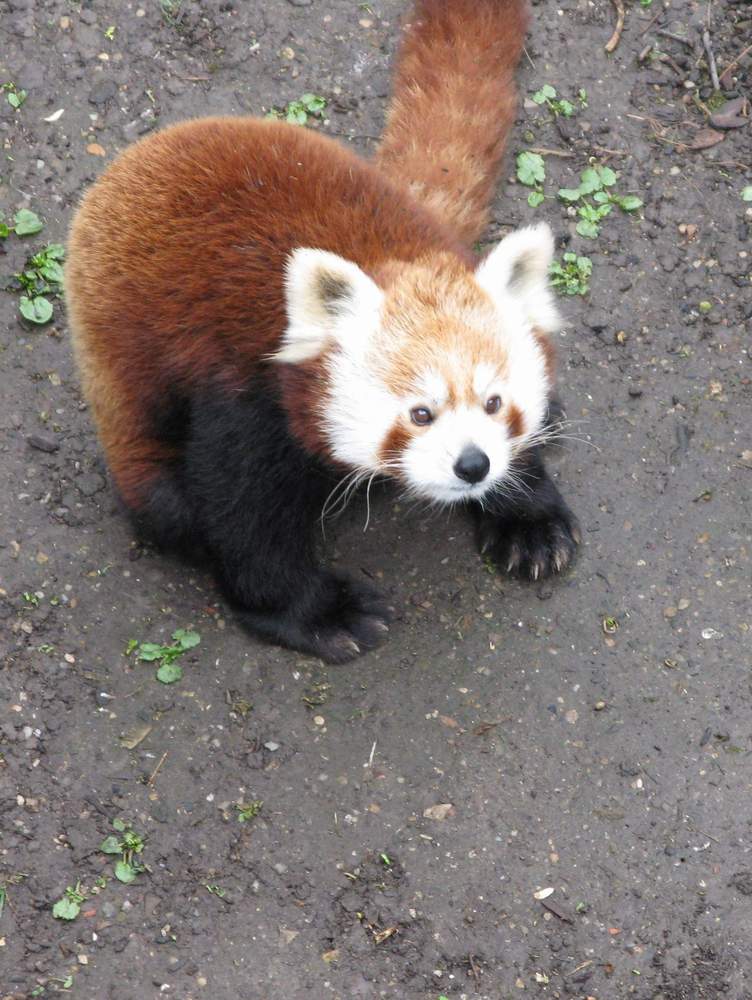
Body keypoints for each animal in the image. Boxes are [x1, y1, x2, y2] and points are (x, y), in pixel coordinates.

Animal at [66, 0, 580, 664]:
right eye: (420, 414)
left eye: (496, 403)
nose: (474, 466)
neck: (387, 256)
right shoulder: (241, 397)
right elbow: (244, 521)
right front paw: (317, 613)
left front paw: (527, 514)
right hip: (127, 409)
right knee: (167, 504)